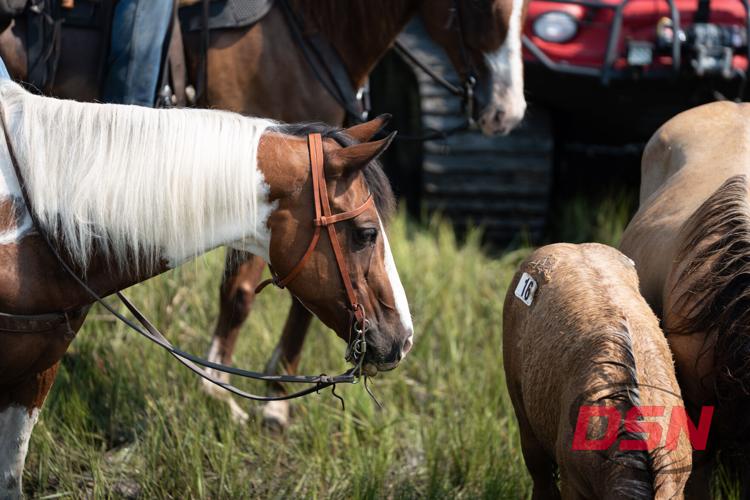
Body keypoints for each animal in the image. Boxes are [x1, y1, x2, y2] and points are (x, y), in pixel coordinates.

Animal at [183, 0, 531, 428]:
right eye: (483, 7)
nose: (507, 112)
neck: (304, 38)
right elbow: (241, 293)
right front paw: (229, 393)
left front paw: (264, 392)